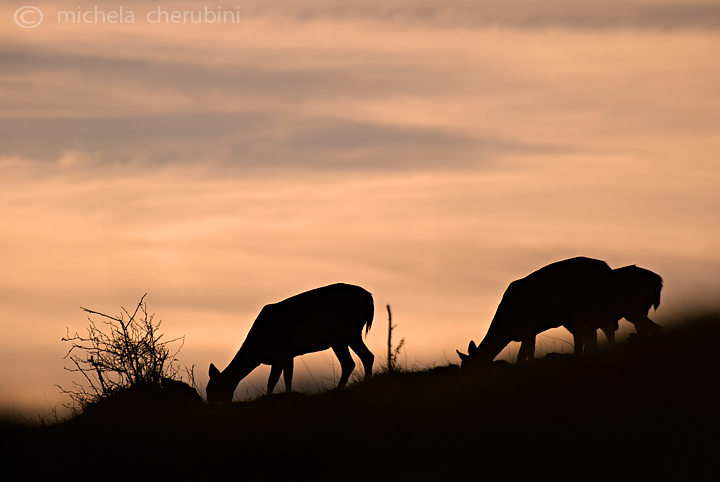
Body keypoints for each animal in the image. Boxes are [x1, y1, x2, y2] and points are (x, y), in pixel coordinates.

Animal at [207, 282, 374, 402]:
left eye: (212, 391)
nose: (211, 404)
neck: (258, 351)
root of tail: (369, 298)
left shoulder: (280, 354)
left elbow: (272, 381)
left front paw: (268, 398)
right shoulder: (288, 355)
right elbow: (288, 378)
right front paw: (288, 396)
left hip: (344, 334)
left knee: (352, 362)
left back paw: (341, 389)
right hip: (348, 335)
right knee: (365, 357)